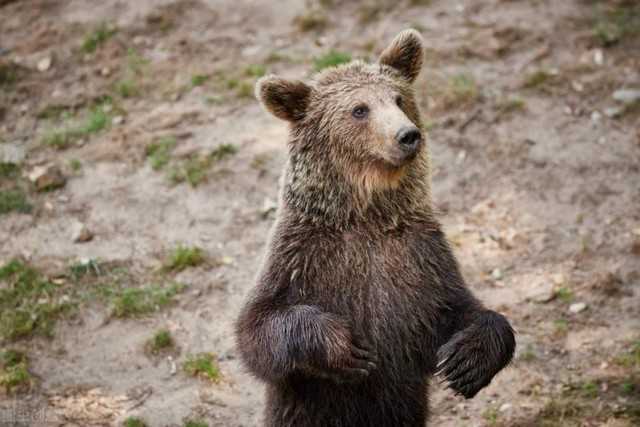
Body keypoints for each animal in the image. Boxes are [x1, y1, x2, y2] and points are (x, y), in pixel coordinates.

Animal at [235, 30, 516, 427]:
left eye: (398, 98)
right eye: (359, 109)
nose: (407, 135)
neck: (366, 216)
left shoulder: (420, 258)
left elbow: (458, 310)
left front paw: (467, 361)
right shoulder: (301, 254)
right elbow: (257, 328)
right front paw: (343, 347)